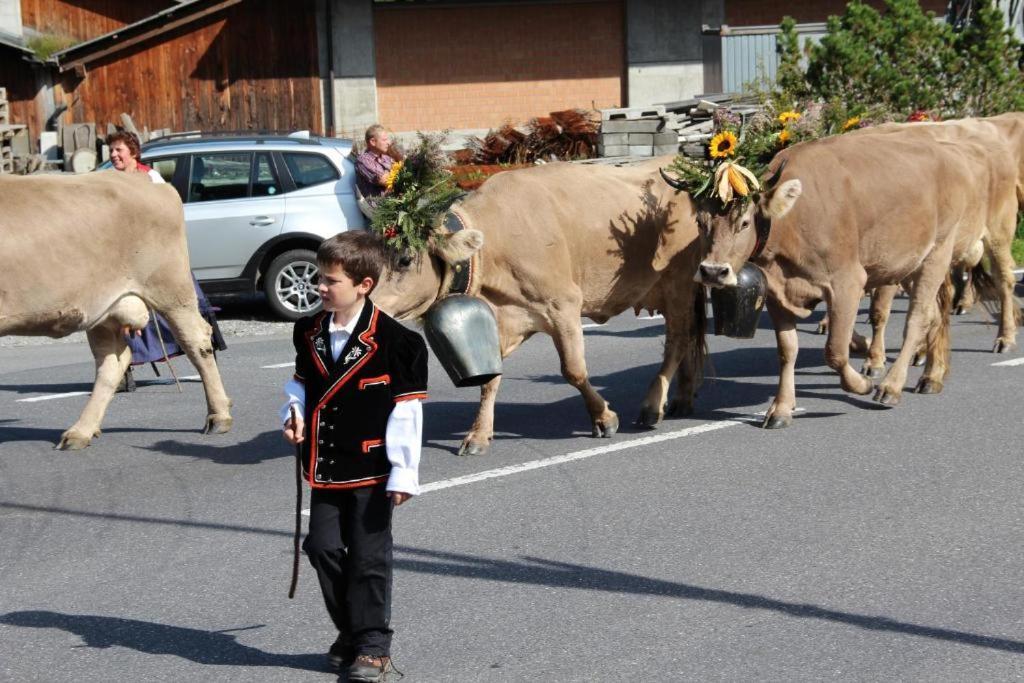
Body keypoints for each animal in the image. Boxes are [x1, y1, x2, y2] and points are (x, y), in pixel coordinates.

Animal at [1, 171, 233, 448]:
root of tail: (145, 179)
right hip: (105, 311)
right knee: (112, 361)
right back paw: (81, 431)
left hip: (171, 290)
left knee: (197, 341)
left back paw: (219, 417)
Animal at [372, 158, 708, 456]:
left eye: (404, 260)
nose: (371, 305)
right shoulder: (503, 321)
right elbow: (490, 379)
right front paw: (478, 434)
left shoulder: (564, 305)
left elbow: (573, 370)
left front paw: (604, 418)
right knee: (689, 337)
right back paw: (683, 398)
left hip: (678, 281)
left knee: (678, 340)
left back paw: (653, 405)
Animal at [671, 125, 1015, 428]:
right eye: (701, 222)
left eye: (743, 222)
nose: (713, 271)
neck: (792, 220)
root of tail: (952, 151)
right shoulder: (778, 294)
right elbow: (787, 350)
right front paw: (781, 408)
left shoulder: (847, 283)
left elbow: (835, 351)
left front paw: (862, 382)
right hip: (915, 264)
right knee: (936, 314)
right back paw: (932, 375)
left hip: (941, 252)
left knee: (920, 317)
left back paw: (892, 385)